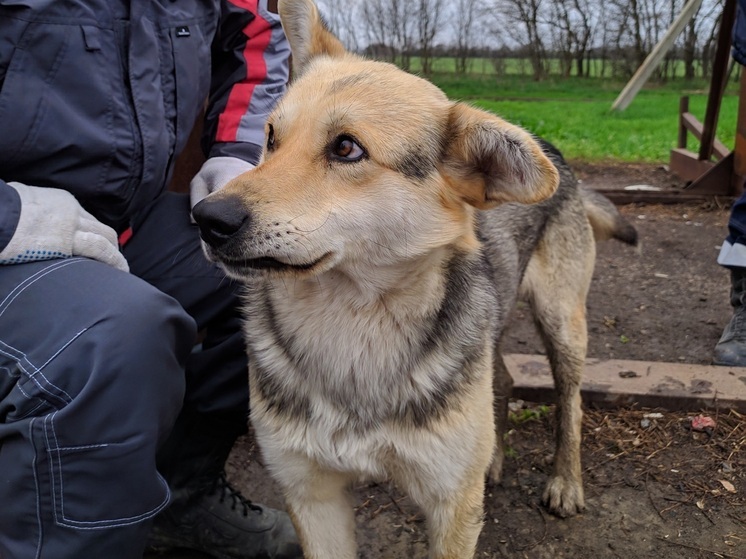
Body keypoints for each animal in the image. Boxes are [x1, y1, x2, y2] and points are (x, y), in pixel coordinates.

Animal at [190, 1, 632, 556]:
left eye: (347, 149)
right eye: (270, 138)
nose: (207, 218)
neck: (352, 327)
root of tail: (551, 146)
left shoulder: (451, 505)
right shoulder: (311, 494)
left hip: (562, 323)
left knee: (570, 402)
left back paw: (566, 482)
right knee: (503, 381)